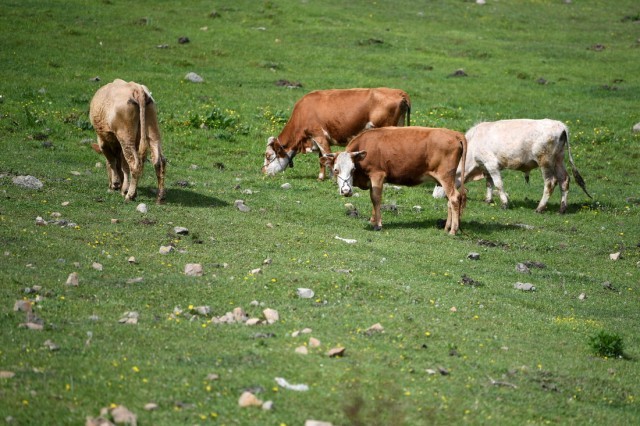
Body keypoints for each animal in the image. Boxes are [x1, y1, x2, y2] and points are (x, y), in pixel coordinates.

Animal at [262, 86, 412, 180]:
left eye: (268, 156)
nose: (262, 172)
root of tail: (399, 92)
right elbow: (321, 159)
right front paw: (321, 177)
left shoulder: (319, 136)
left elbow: (326, 156)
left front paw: (333, 177)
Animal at [324, 126, 464, 236]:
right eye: (336, 170)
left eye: (353, 169)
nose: (346, 190)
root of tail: (455, 134)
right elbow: (372, 198)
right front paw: (373, 220)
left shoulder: (377, 175)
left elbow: (376, 198)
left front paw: (378, 224)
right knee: (449, 201)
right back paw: (447, 227)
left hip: (445, 177)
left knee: (454, 198)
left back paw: (453, 231)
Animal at [436, 118, 592, 213]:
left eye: (439, 183)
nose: (435, 196)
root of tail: (561, 125)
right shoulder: (485, 167)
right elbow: (489, 183)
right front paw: (488, 200)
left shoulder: (491, 164)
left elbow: (498, 184)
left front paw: (504, 203)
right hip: (559, 159)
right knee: (564, 180)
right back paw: (562, 208)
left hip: (545, 161)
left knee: (550, 182)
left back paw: (540, 208)